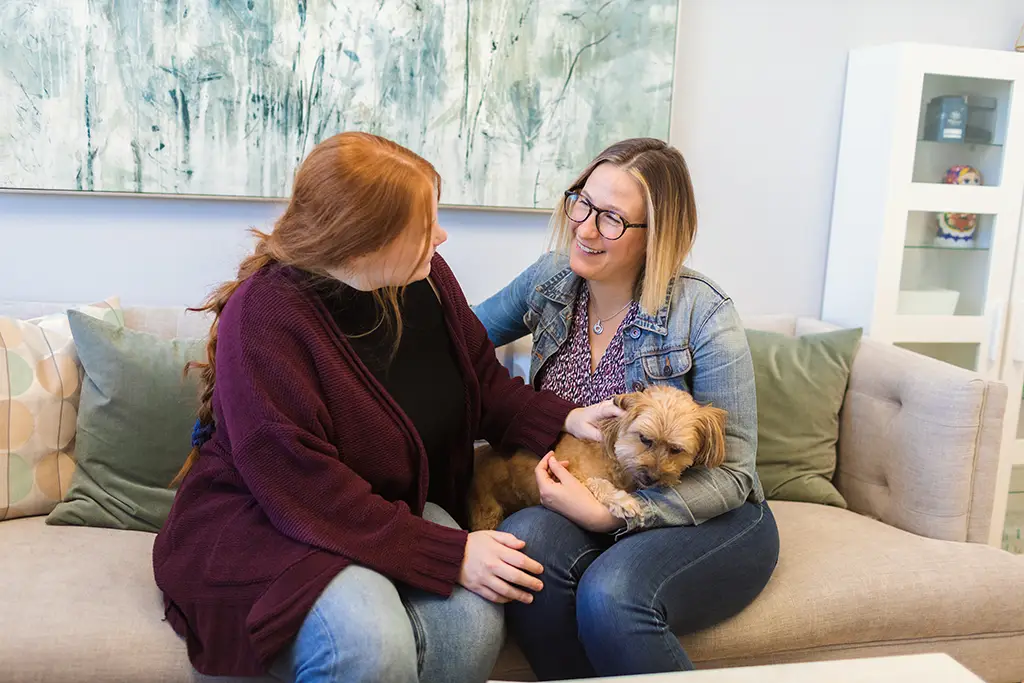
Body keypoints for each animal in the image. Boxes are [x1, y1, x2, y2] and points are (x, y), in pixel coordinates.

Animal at [468, 387, 729, 532]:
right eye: (645, 439)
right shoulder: (570, 472)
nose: (651, 477)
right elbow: (598, 483)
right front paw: (623, 501)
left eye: (676, 450)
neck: (615, 463)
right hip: (487, 514)